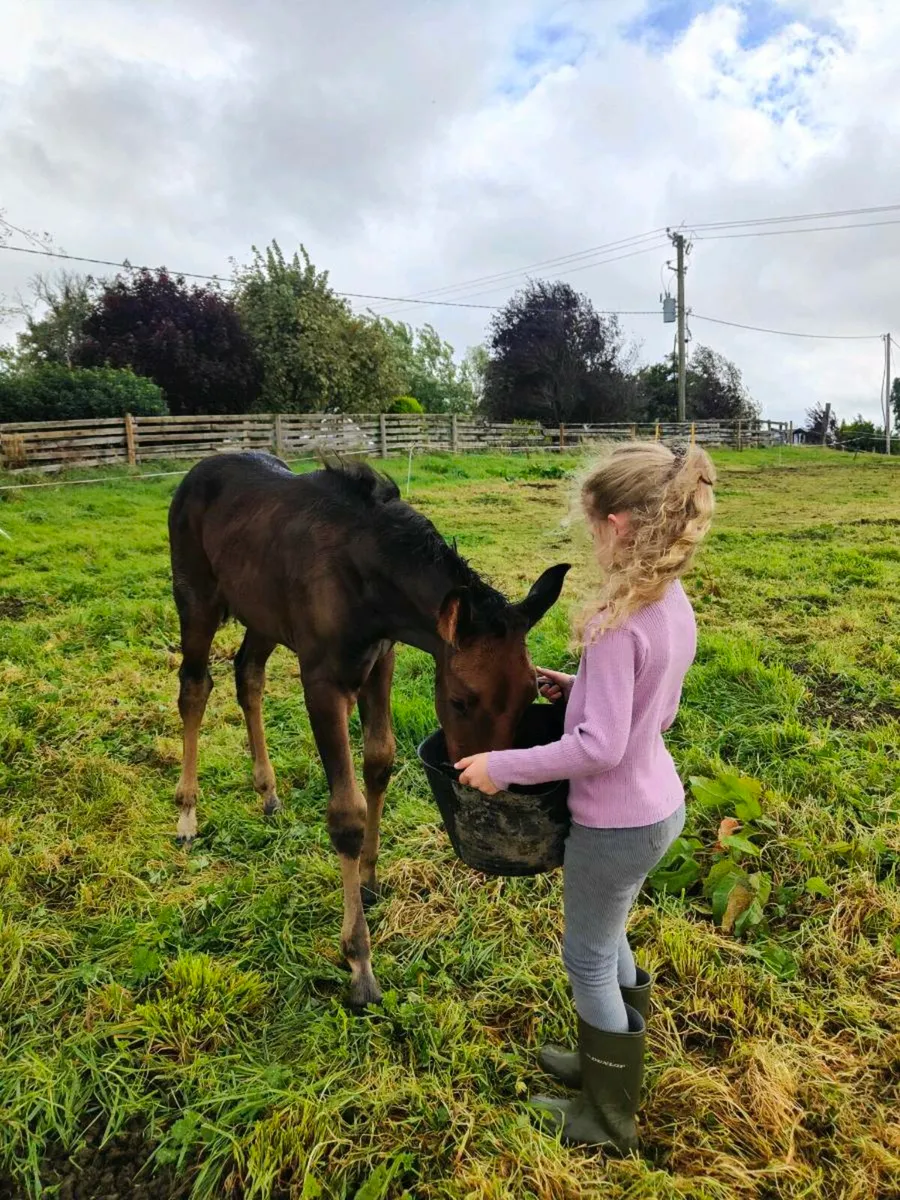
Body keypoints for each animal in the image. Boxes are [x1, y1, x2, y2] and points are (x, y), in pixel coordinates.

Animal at [168, 451, 569, 1007]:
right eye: (460, 701)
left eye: (531, 694)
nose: (474, 779)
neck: (365, 584)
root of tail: (195, 471)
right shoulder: (321, 681)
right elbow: (346, 815)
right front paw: (359, 962)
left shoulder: (382, 660)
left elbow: (380, 760)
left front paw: (371, 878)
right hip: (196, 600)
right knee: (194, 687)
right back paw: (187, 813)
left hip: (262, 615)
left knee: (247, 675)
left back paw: (267, 792)